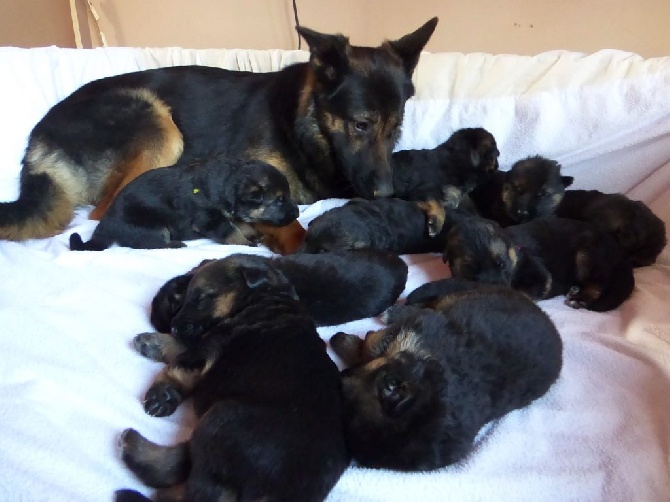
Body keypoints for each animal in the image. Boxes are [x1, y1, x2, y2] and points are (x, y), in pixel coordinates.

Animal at [70, 155, 300, 251]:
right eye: (279, 200)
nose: (297, 214)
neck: (228, 182)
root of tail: (107, 223)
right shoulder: (209, 218)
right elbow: (231, 231)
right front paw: (245, 243)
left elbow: (240, 223)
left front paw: (251, 233)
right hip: (153, 226)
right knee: (145, 244)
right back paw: (174, 245)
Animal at [115, 255, 350, 502]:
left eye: (202, 297)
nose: (174, 327)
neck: (268, 296)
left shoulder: (209, 345)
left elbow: (179, 364)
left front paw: (160, 395)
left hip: (219, 419)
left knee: (186, 483)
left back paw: (132, 449)